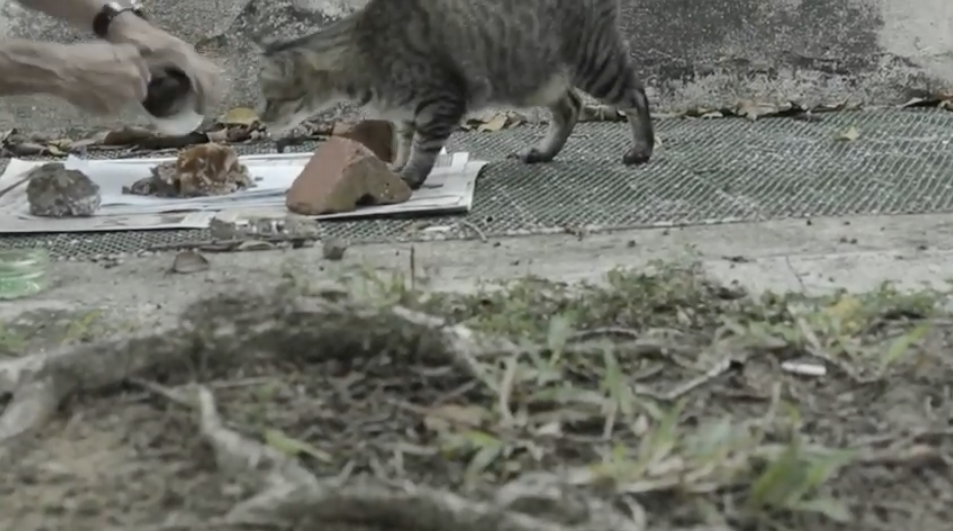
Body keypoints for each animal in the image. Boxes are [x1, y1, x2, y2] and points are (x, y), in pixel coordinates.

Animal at [256, 0, 652, 189]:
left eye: (269, 100)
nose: (260, 119)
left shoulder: (439, 103)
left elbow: (423, 149)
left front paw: (410, 176)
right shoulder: (405, 115)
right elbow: (403, 143)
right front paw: (394, 167)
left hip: (593, 62)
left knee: (636, 96)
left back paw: (641, 149)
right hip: (533, 76)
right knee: (571, 106)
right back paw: (542, 151)